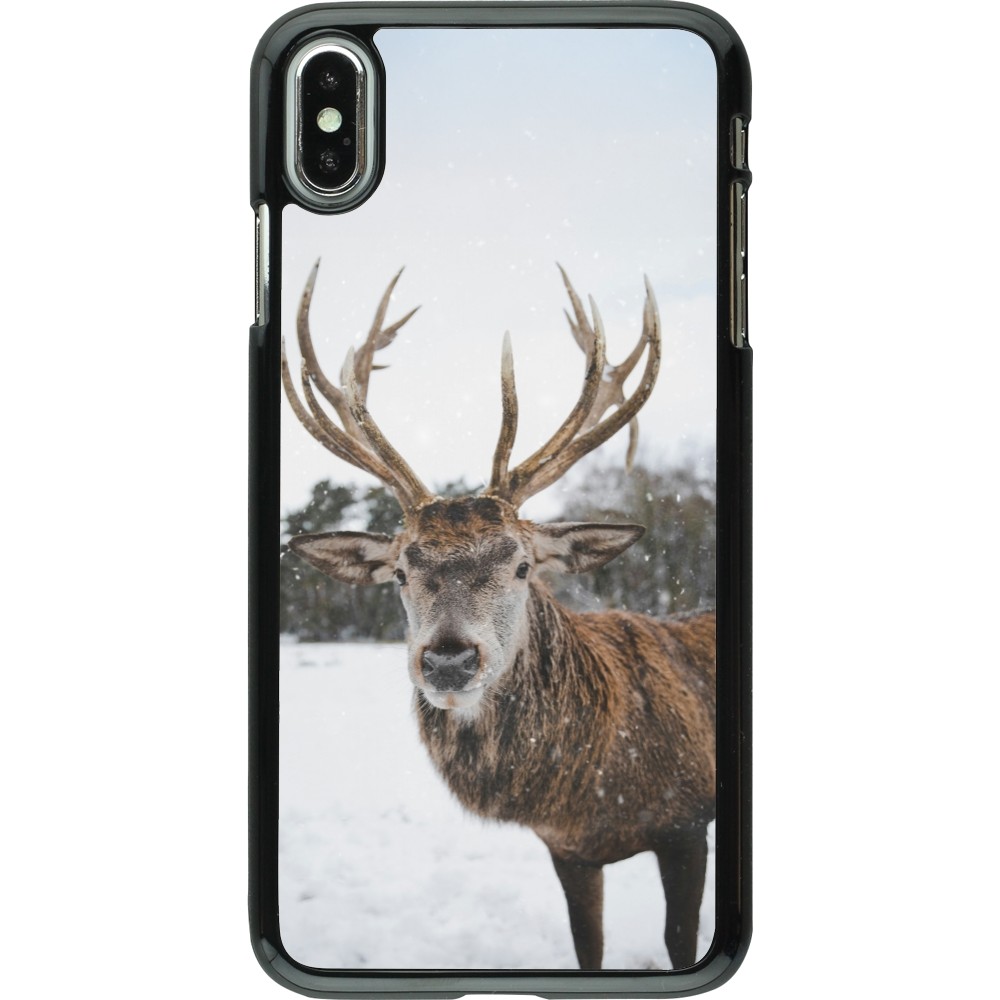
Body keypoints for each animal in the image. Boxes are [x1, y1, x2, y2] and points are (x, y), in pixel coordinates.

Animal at [280, 262, 716, 971]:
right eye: (400, 573)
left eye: (522, 565)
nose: (448, 659)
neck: (593, 790)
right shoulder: (567, 849)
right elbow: (587, 948)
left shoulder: (687, 822)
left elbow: (681, 940)